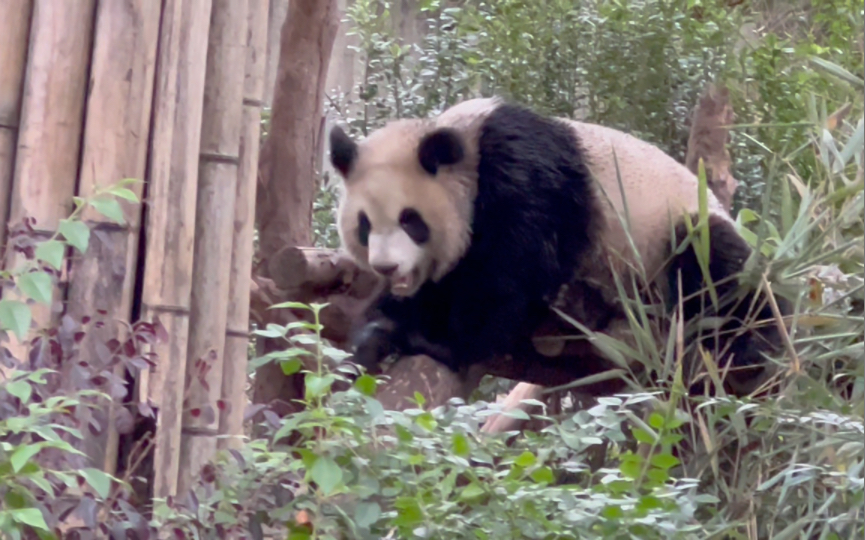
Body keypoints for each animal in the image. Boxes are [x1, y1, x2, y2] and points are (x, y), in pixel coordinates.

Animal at [326, 97, 788, 396]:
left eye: (411, 221)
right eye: (364, 226)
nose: (386, 267)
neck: (465, 146)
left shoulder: (523, 177)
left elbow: (510, 275)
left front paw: (435, 339)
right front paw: (375, 331)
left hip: (669, 230)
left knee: (715, 266)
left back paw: (752, 345)